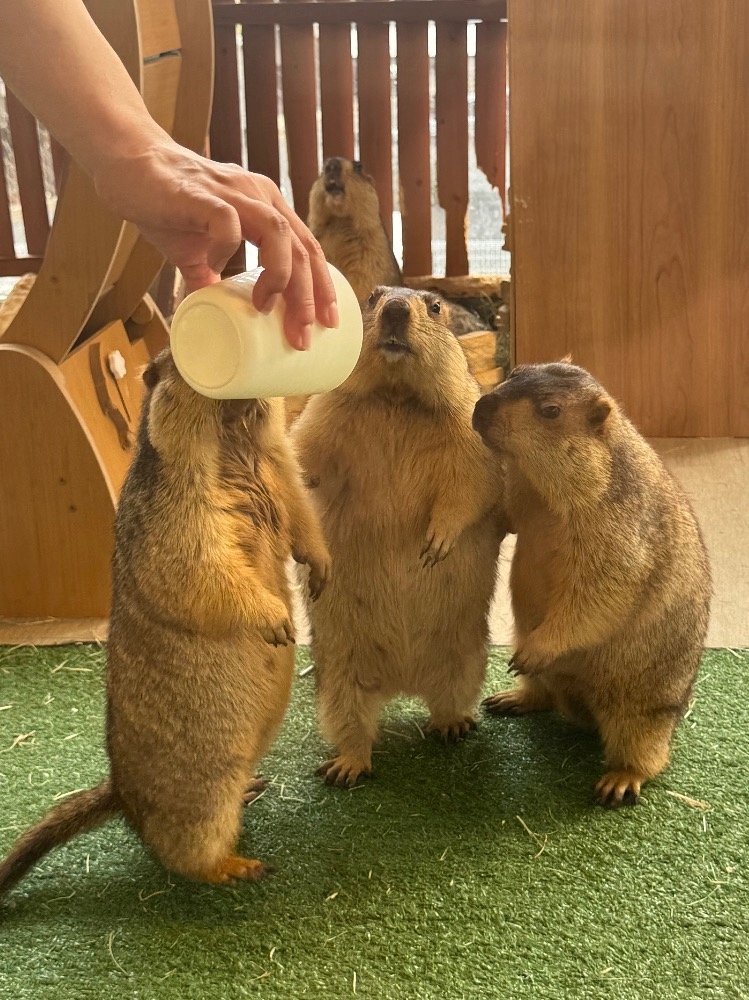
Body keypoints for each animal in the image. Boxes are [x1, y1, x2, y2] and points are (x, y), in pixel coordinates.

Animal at [0, 349, 330, 898]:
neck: (237, 442)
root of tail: (123, 796)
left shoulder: (282, 463)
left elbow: (301, 506)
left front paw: (322, 568)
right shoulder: (175, 505)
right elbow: (199, 562)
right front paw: (279, 621)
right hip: (202, 794)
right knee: (182, 853)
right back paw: (237, 866)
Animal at [292, 286, 509, 786]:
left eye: (436, 306)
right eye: (371, 298)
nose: (394, 309)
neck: (395, 399)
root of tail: (403, 682)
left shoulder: (468, 431)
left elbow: (472, 482)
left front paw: (435, 544)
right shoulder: (321, 413)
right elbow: (302, 456)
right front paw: (314, 555)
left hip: (466, 662)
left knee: (448, 698)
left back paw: (453, 726)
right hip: (338, 681)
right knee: (354, 725)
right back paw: (345, 767)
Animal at [472, 361, 712, 806]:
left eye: (551, 411)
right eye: (515, 371)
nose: (480, 406)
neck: (540, 489)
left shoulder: (617, 522)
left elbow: (604, 584)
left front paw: (535, 650)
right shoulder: (522, 492)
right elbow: (506, 513)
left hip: (642, 708)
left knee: (647, 751)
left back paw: (620, 781)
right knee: (544, 695)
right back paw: (509, 698)